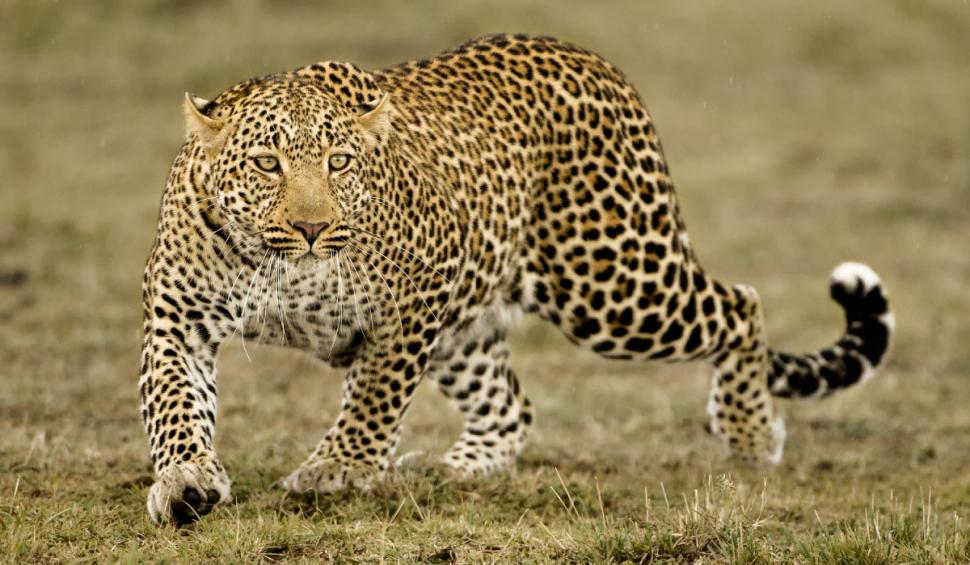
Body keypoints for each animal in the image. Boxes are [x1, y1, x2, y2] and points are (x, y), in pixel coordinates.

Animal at [139, 34, 894, 524]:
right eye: (267, 163)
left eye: (341, 162)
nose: (312, 228)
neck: (283, 269)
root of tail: (592, 59)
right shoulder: (177, 316)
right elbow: (174, 403)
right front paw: (186, 480)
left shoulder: (414, 299)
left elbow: (375, 396)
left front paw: (340, 467)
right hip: (475, 325)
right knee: (510, 405)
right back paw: (454, 467)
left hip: (614, 283)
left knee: (741, 304)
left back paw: (750, 433)